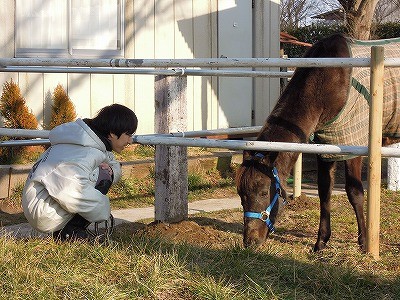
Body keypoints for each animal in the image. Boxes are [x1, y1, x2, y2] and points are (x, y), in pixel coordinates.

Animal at [236, 33, 398, 251]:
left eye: (263, 192)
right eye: (240, 195)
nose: (250, 241)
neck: (328, 80)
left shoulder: (352, 146)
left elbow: (355, 193)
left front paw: (364, 243)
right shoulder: (326, 148)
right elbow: (324, 192)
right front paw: (321, 241)